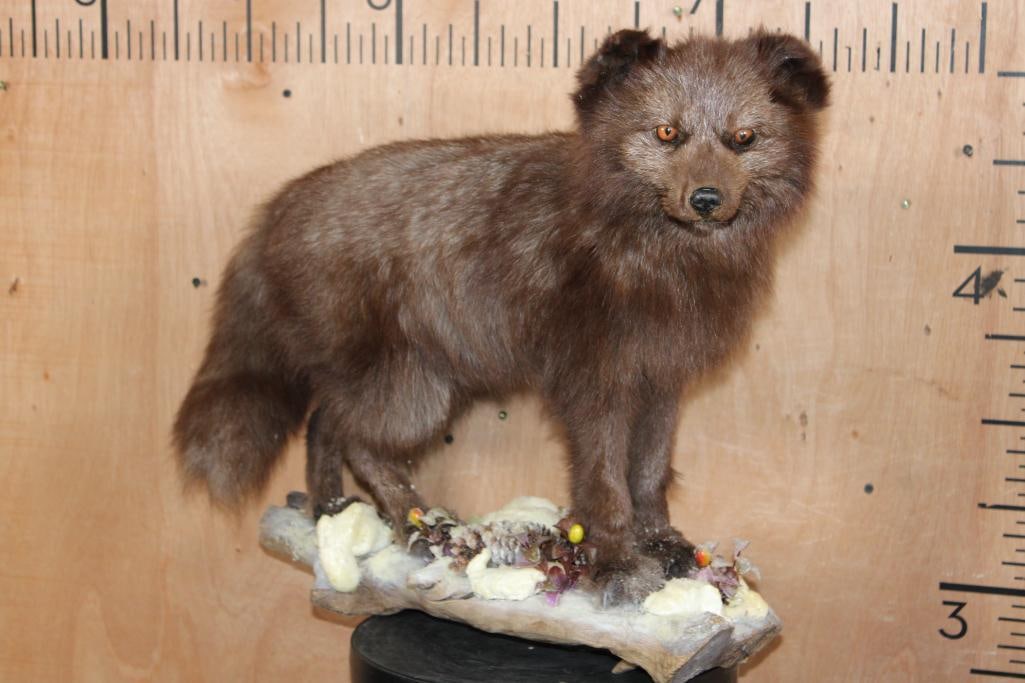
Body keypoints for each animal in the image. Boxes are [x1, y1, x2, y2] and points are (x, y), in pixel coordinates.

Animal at [173, 28, 829, 605]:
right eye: (668, 132)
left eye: (743, 137)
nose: (706, 199)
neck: (655, 260)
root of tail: (274, 212)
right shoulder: (593, 386)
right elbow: (603, 483)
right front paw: (619, 563)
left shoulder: (661, 382)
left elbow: (648, 473)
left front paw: (666, 546)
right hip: (412, 389)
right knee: (348, 433)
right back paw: (414, 521)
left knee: (323, 423)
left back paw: (333, 511)